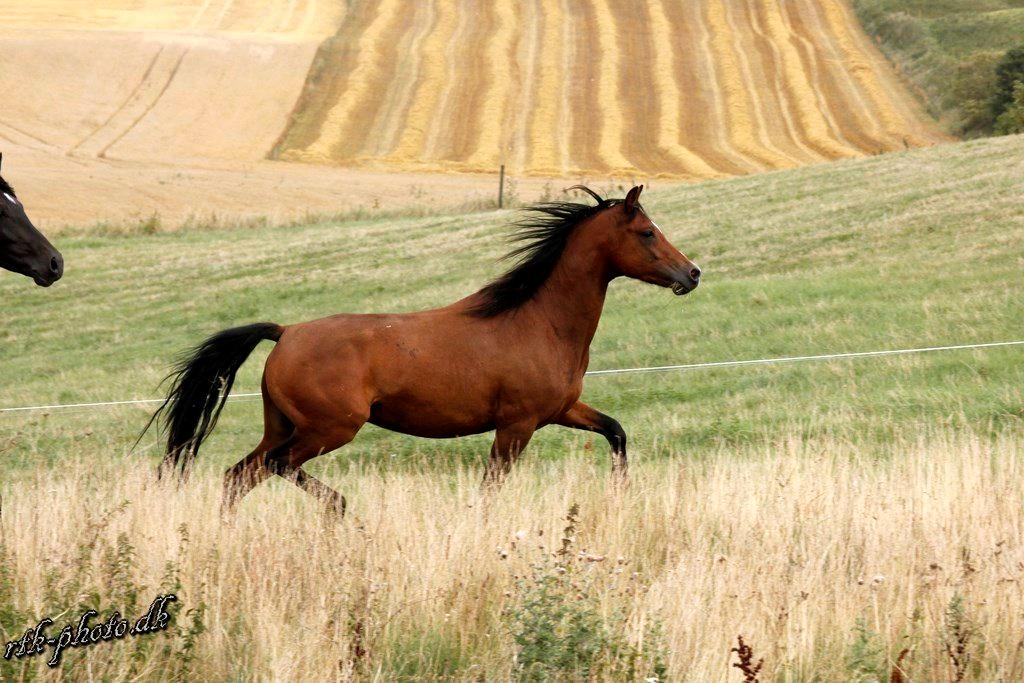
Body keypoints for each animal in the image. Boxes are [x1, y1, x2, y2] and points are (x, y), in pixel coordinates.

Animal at [146, 185, 700, 515]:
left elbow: (616, 432)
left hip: (283, 426)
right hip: (328, 429)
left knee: (239, 476)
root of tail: (287, 332)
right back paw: (342, 511)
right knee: (277, 468)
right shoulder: (516, 425)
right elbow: (491, 488)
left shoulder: (561, 410)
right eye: (647, 233)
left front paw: (621, 496)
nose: (692, 273)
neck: (539, 321)